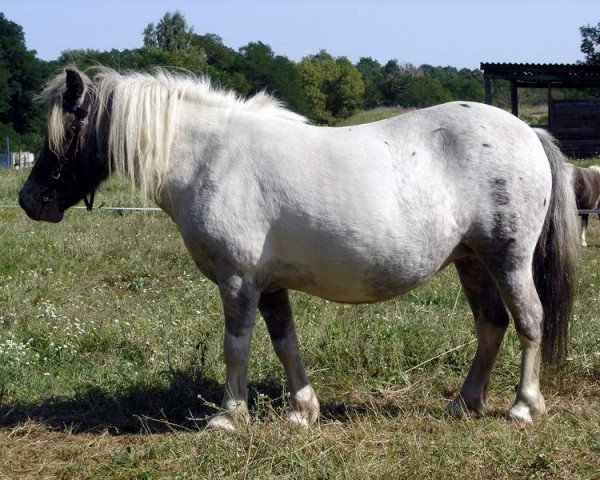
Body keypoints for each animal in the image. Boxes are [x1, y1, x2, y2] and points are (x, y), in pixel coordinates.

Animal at [18, 67, 580, 432]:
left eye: (67, 128)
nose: (30, 199)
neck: (210, 157)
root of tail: (527, 131)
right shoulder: (269, 284)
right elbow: (285, 343)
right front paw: (301, 411)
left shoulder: (238, 279)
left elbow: (236, 347)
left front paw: (228, 417)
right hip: (471, 261)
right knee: (491, 325)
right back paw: (465, 403)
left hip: (508, 258)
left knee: (529, 320)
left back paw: (524, 406)